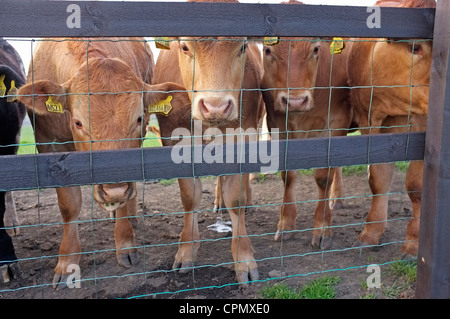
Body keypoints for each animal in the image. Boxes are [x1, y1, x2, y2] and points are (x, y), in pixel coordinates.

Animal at [17, 38, 188, 290]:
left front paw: (125, 244)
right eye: (78, 122)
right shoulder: (50, 146)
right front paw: (66, 263)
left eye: (138, 118)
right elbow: (68, 206)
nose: (113, 190)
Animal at [152, 0, 264, 284]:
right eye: (184, 47)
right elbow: (189, 197)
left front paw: (244, 258)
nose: (216, 106)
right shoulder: (173, 138)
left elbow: (235, 197)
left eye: (242, 47)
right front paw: (186, 251)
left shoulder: (242, 136)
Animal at [262, 0, 354, 250]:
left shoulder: (335, 124)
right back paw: (337, 199)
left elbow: (323, 176)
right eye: (268, 51)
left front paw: (322, 228)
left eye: (315, 50)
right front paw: (286, 224)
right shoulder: (277, 125)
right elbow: (288, 174)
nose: (295, 100)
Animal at [344, 0, 436, 256]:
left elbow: (416, 186)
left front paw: (414, 241)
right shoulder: (369, 121)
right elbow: (378, 178)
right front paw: (370, 232)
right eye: (415, 47)